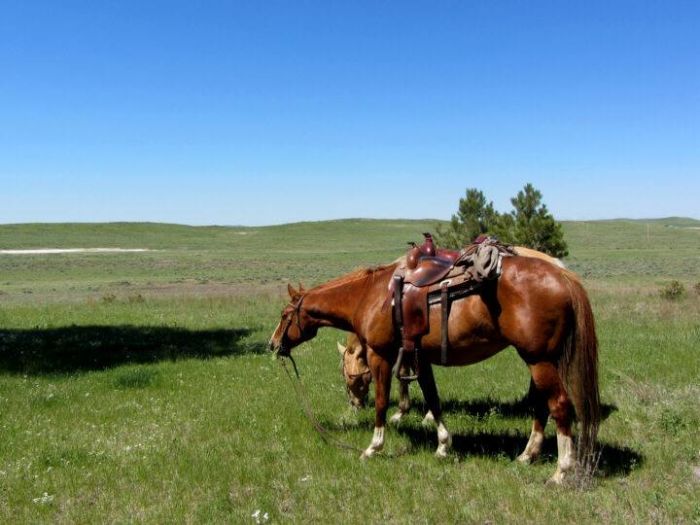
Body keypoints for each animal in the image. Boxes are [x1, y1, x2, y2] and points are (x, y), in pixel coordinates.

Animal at [270, 256, 600, 484]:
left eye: (285, 315)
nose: (273, 344)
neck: (370, 295)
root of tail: (563, 276)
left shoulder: (381, 356)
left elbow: (382, 403)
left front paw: (373, 448)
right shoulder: (421, 358)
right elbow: (433, 398)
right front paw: (443, 445)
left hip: (539, 360)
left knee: (559, 406)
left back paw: (560, 472)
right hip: (540, 361)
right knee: (541, 406)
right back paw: (526, 456)